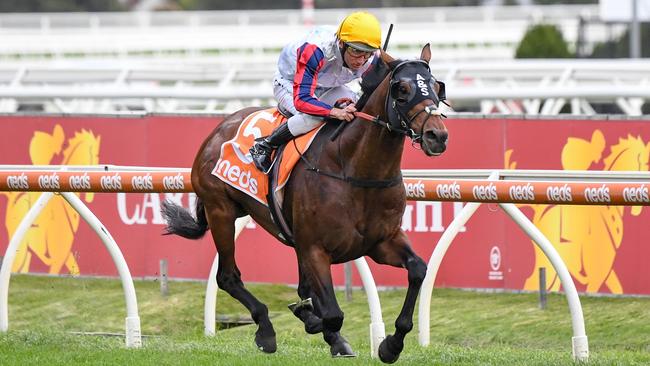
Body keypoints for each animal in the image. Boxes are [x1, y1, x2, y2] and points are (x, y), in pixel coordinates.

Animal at [161, 43, 446, 364]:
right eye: (402, 89)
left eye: (436, 86)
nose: (437, 135)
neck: (355, 170)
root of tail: (219, 128)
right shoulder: (315, 248)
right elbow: (333, 314)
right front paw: (323, 328)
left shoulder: (380, 242)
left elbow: (418, 269)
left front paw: (391, 345)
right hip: (220, 211)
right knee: (228, 276)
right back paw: (266, 329)